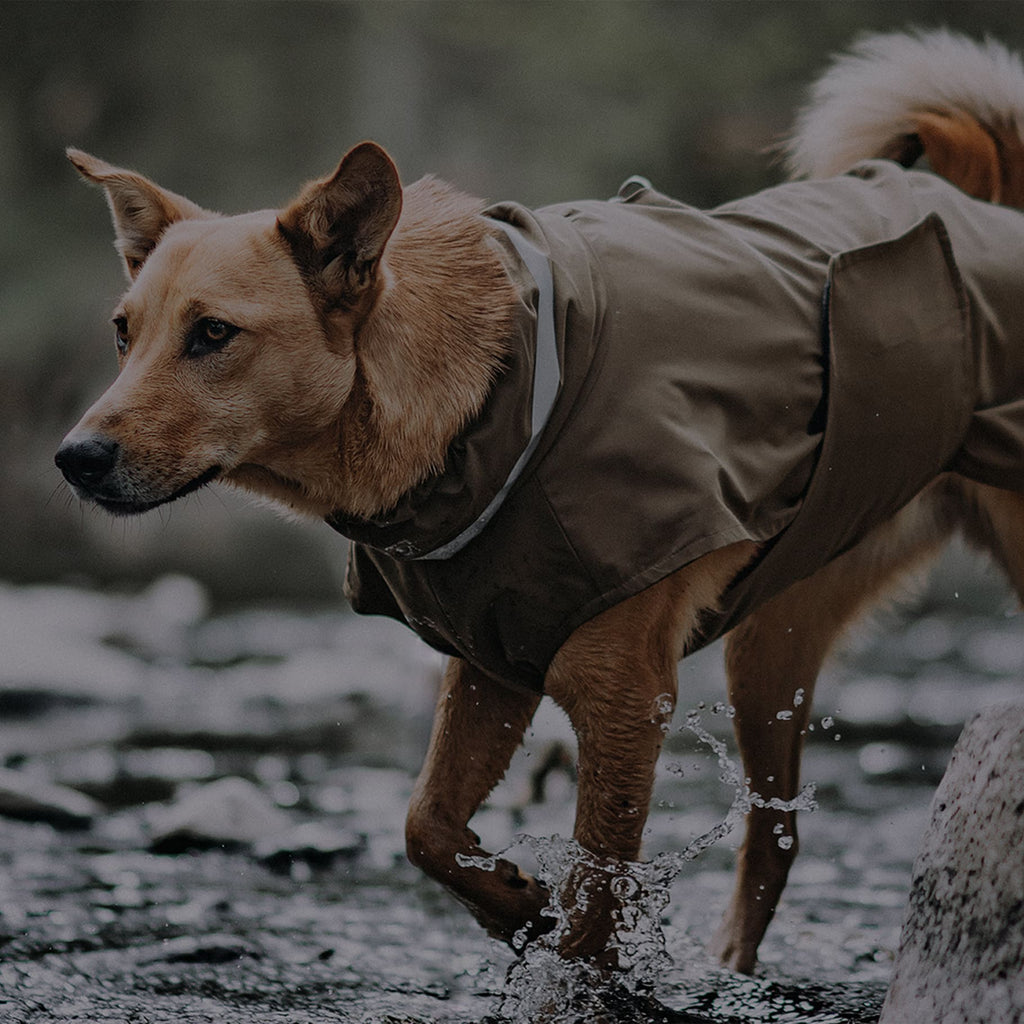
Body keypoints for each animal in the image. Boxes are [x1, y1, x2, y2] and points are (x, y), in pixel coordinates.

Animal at [58, 29, 1024, 974]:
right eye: (122, 333)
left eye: (213, 334)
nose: (75, 459)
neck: (490, 396)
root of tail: (976, 197)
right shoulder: (491, 667)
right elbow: (424, 828)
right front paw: (515, 907)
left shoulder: (622, 698)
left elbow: (595, 907)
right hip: (769, 647)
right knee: (773, 841)